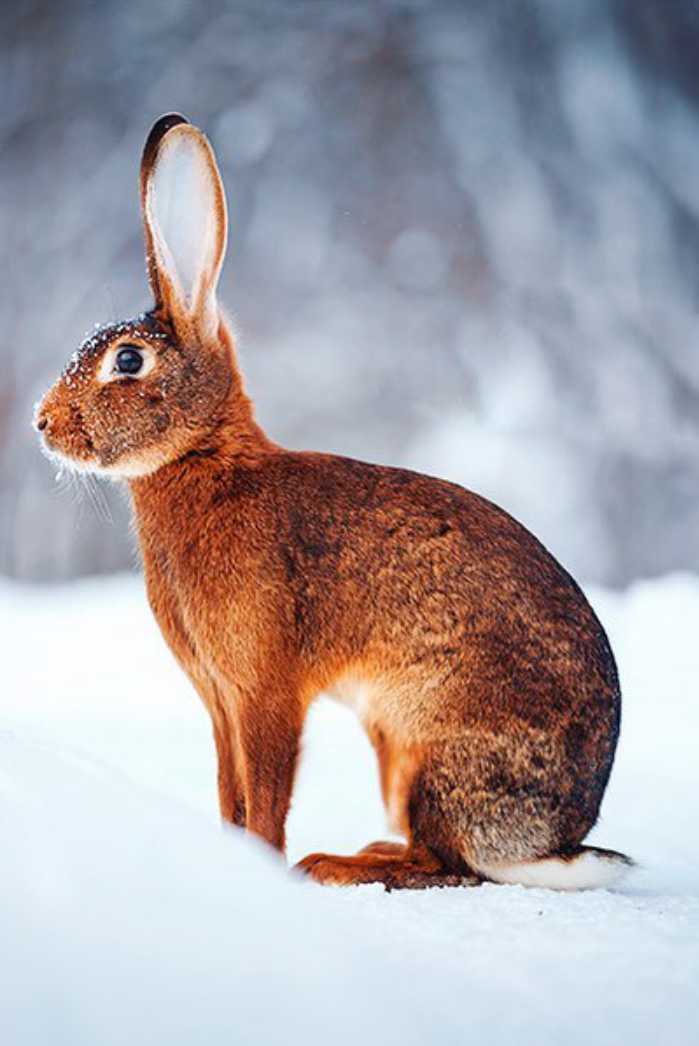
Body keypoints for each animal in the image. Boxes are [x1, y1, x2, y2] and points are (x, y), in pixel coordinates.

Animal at [34, 118, 632, 895]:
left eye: (128, 361)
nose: (41, 424)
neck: (205, 460)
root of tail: (555, 842)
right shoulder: (219, 699)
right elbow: (230, 788)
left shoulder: (265, 690)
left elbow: (265, 790)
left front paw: (263, 870)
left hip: (425, 751)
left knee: (449, 864)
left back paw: (335, 865)